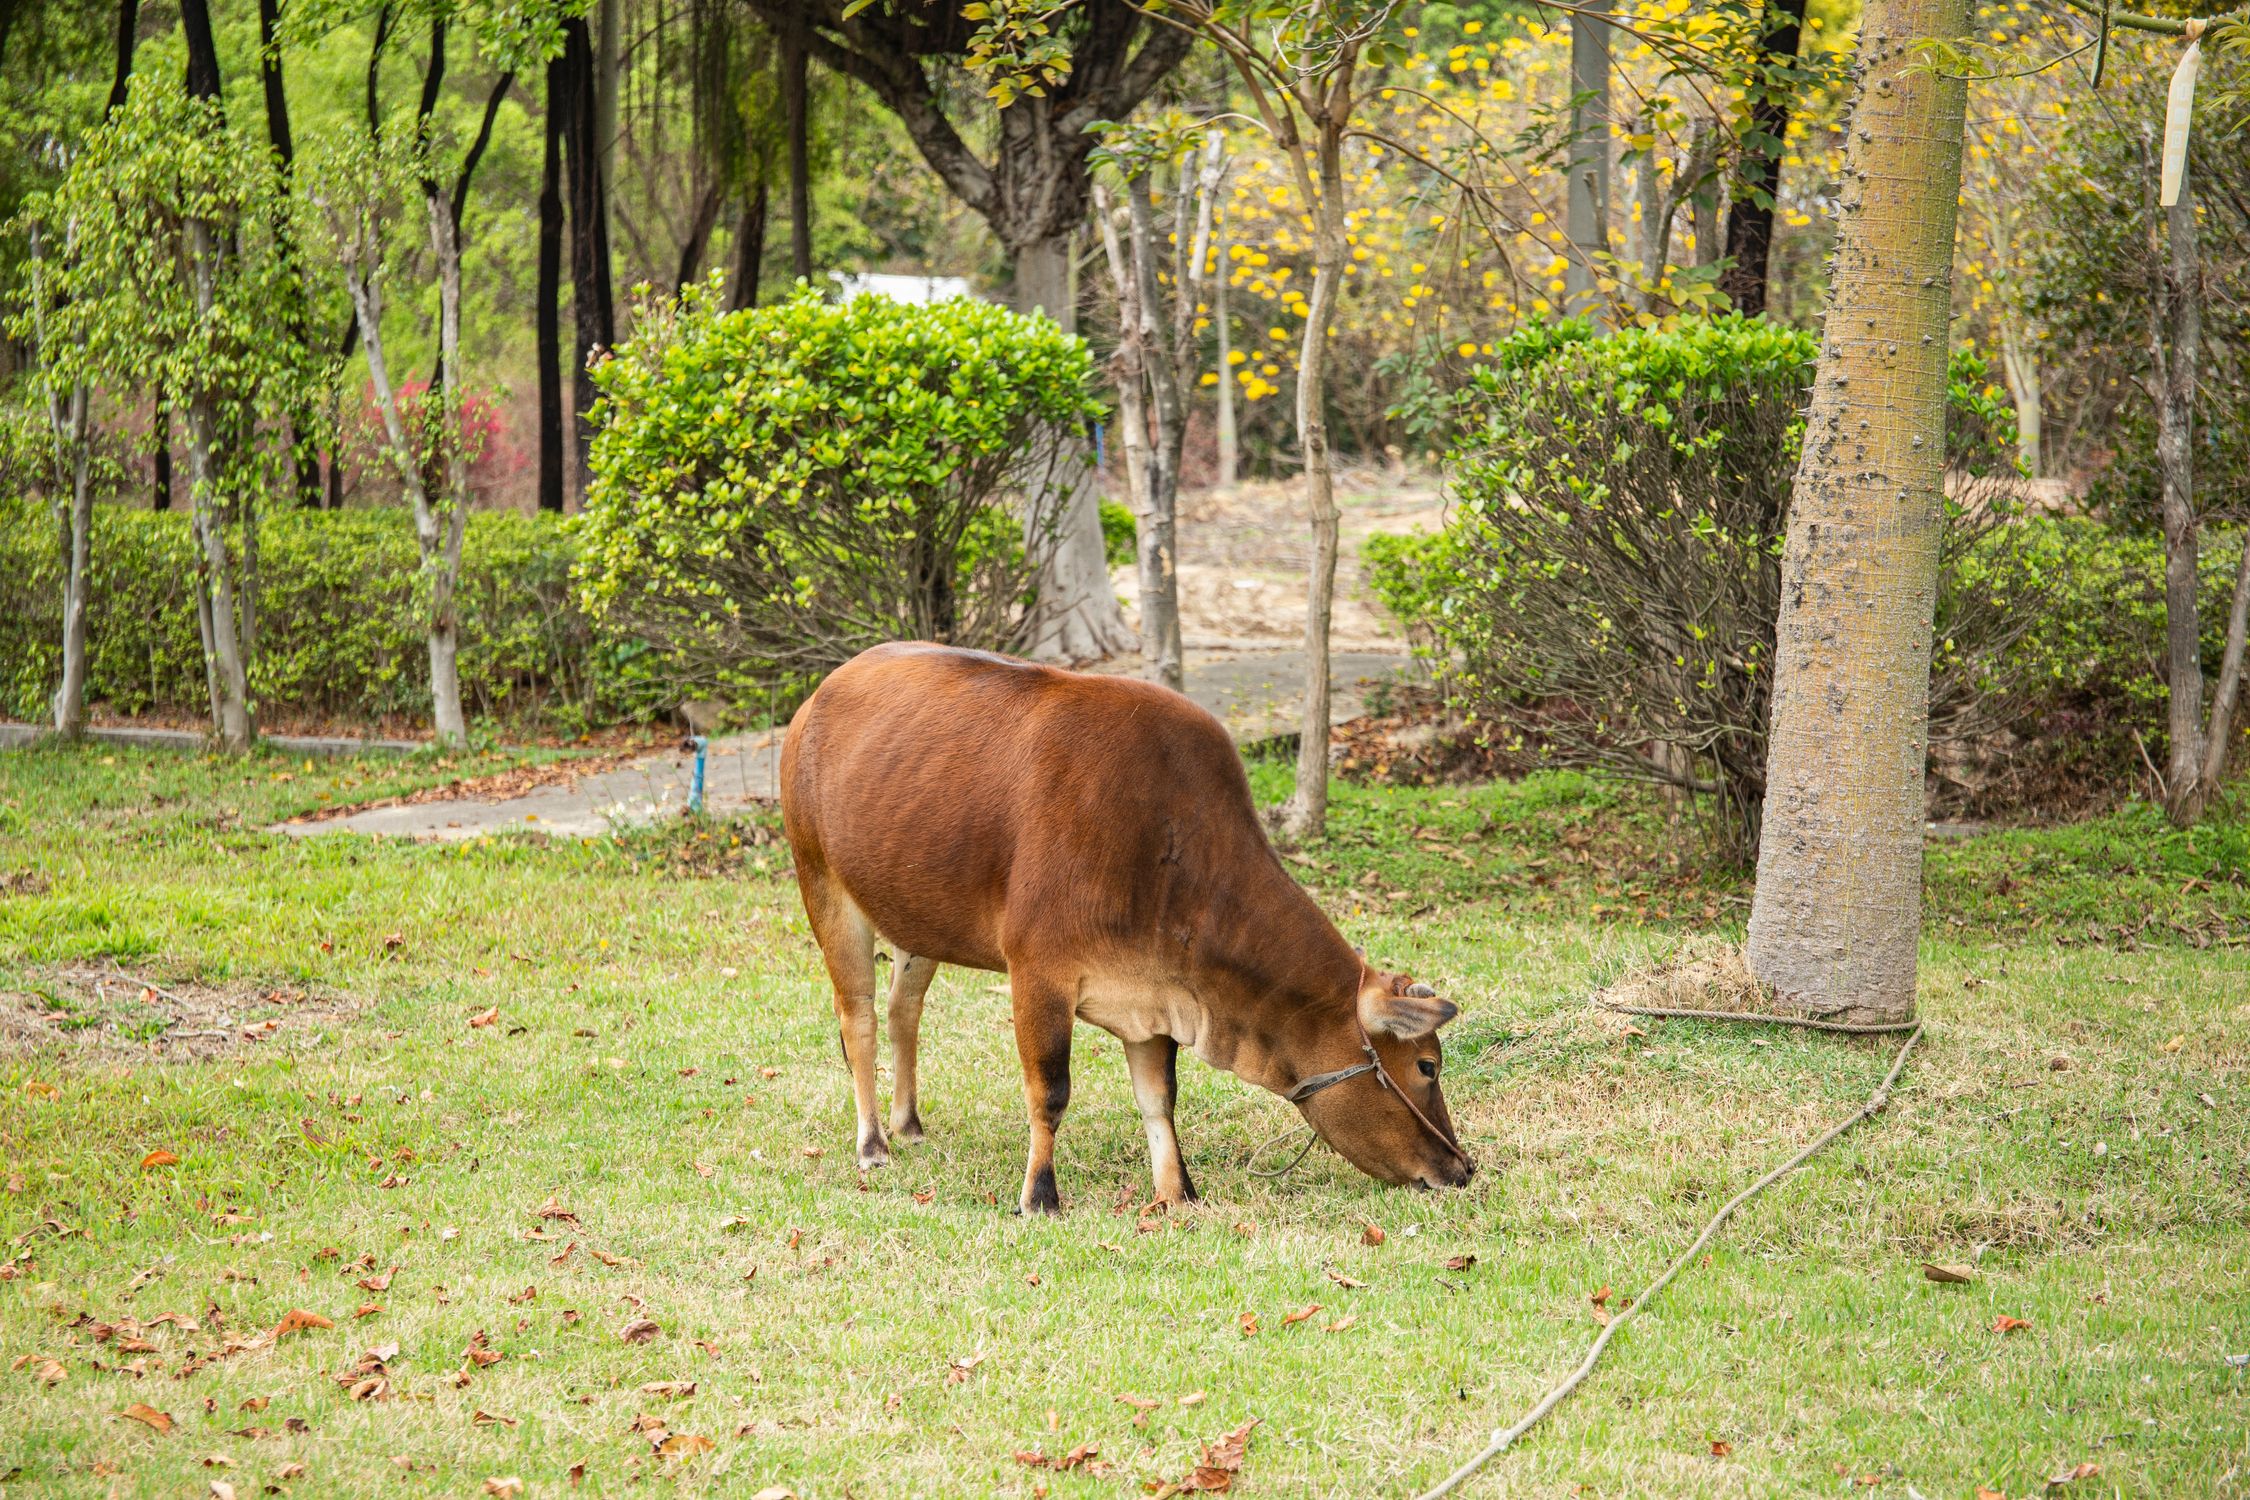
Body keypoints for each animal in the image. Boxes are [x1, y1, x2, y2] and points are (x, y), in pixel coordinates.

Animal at [778, 642, 1474, 1214]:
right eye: (1428, 1066)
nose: (1461, 1168)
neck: (1167, 850)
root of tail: (819, 696)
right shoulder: (1039, 973)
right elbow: (1050, 1091)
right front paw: (1040, 1196)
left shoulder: (1156, 996)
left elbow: (1159, 1098)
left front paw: (1176, 1192)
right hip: (824, 887)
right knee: (859, 1019)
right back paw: (873, 1143)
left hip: (916, 918)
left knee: (904, 1010)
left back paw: (909, 1123)